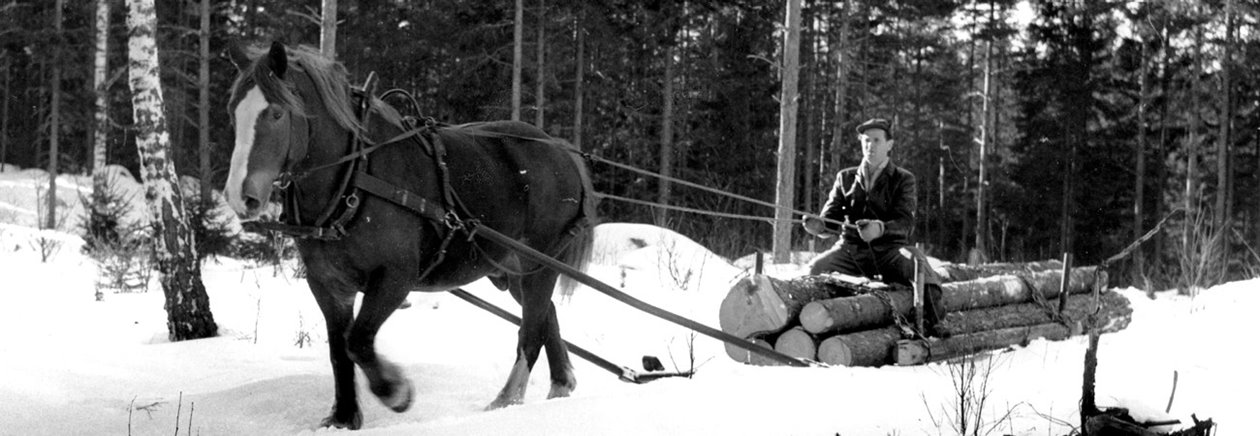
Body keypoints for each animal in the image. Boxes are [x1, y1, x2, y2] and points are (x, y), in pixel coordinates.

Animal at [223, 40, 594, 428]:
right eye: (233, 112)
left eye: (277, 113)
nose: (239, 195)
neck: (356, 176)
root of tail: (561, 149)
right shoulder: (327, 283)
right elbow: (339, 350)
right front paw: (343, 417)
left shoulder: (395, 277)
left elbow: (358, 341)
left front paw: (395, 391)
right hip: (513, 270)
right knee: (546, 313)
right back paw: (560, 385)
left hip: (541, 262)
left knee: (531, 330)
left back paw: (507, 399)